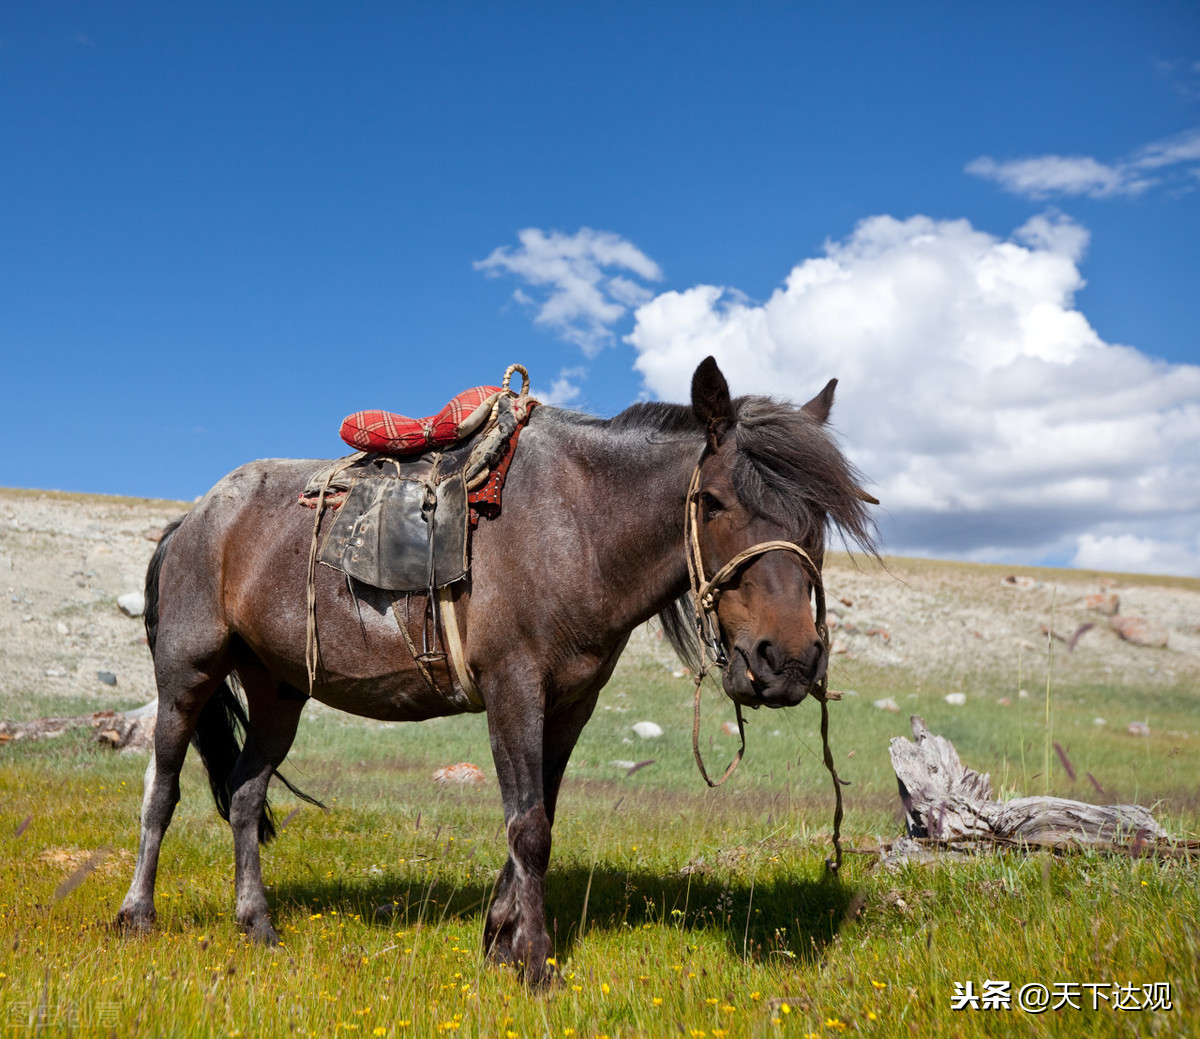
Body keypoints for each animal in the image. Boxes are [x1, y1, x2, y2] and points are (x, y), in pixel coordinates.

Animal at [117, 355, 878, 979]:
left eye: (817, 516)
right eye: (713, 501)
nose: (787, 661)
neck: (579, 525)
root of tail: (191, 520)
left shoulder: (570, 704)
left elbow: (539, 812)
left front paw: (500, 941)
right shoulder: (514, 687)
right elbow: (528, 827)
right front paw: (536, 963)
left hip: (279, 690)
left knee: (246, 794)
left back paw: (258, 925)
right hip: (188, 675)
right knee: (164, 787)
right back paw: (137, 915)